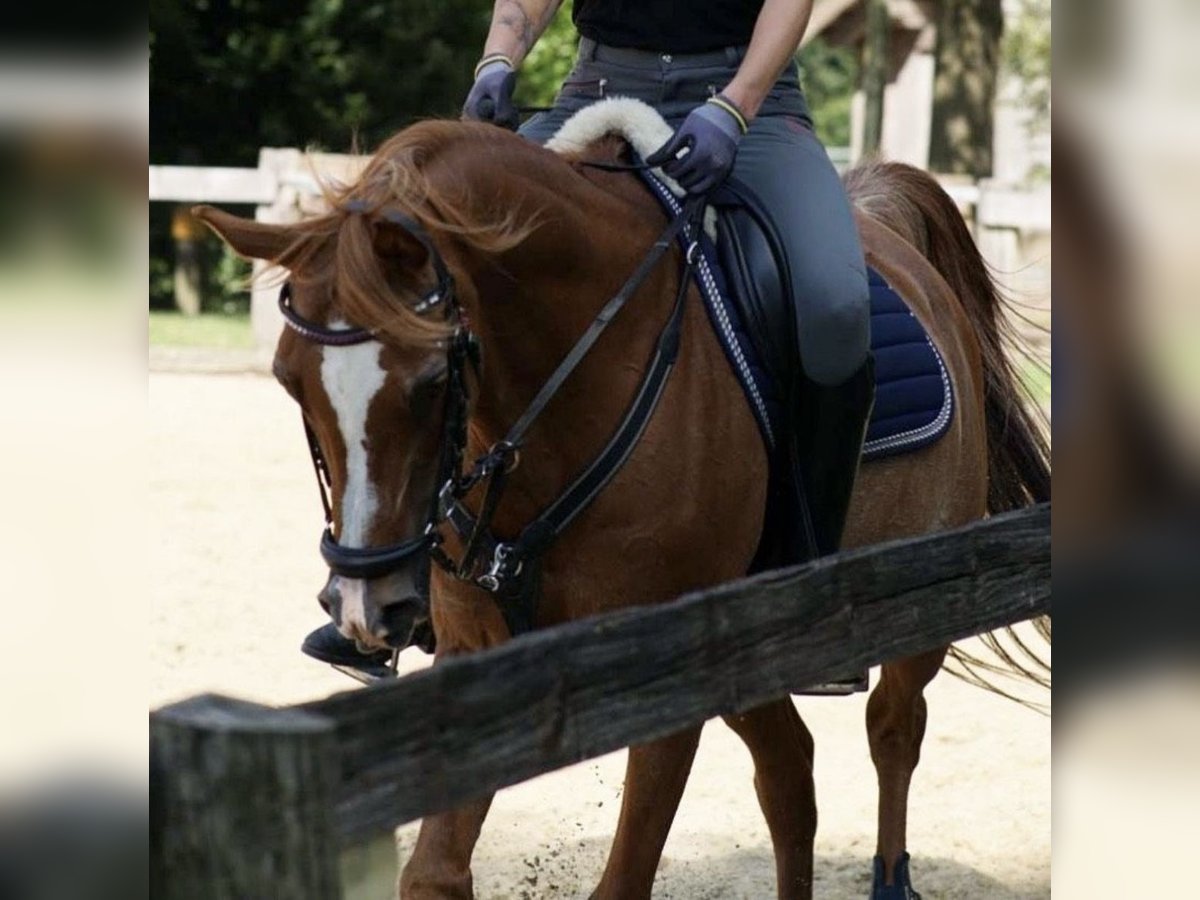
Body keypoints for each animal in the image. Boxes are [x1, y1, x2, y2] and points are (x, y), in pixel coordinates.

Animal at [192, 116, 1046, 897]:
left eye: (432, 379)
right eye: (289, 379)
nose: (367, 605)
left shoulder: (674, 675)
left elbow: (626, 878)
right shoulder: (476, 659)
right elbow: (433, 872)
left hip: (916, 606)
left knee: (892, 730)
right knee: (789, 773)